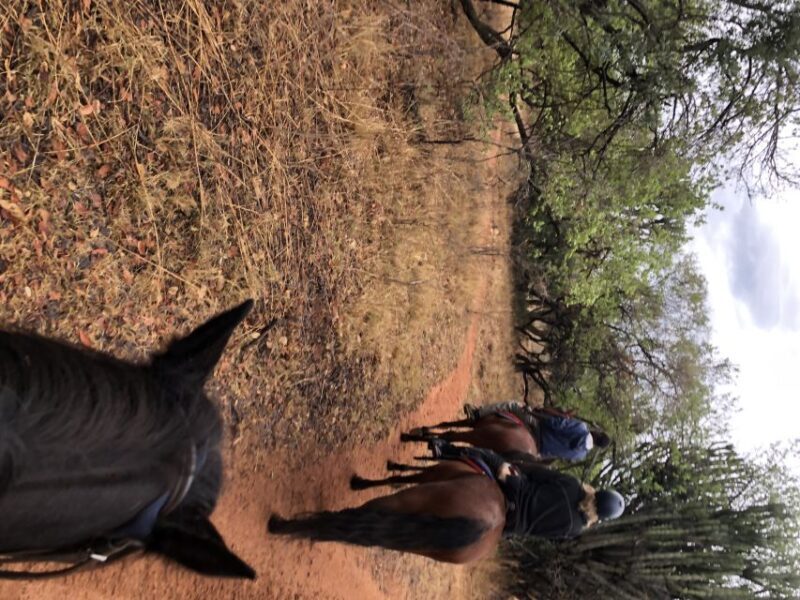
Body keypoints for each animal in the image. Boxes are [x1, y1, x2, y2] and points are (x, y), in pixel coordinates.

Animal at [268, 458, 506, 564]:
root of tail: (488, 524)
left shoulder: (426, 476)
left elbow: (397, 478)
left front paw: (360, 483)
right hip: (418, 543)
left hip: (398, 504)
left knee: (351, 520)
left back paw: (281, 525)